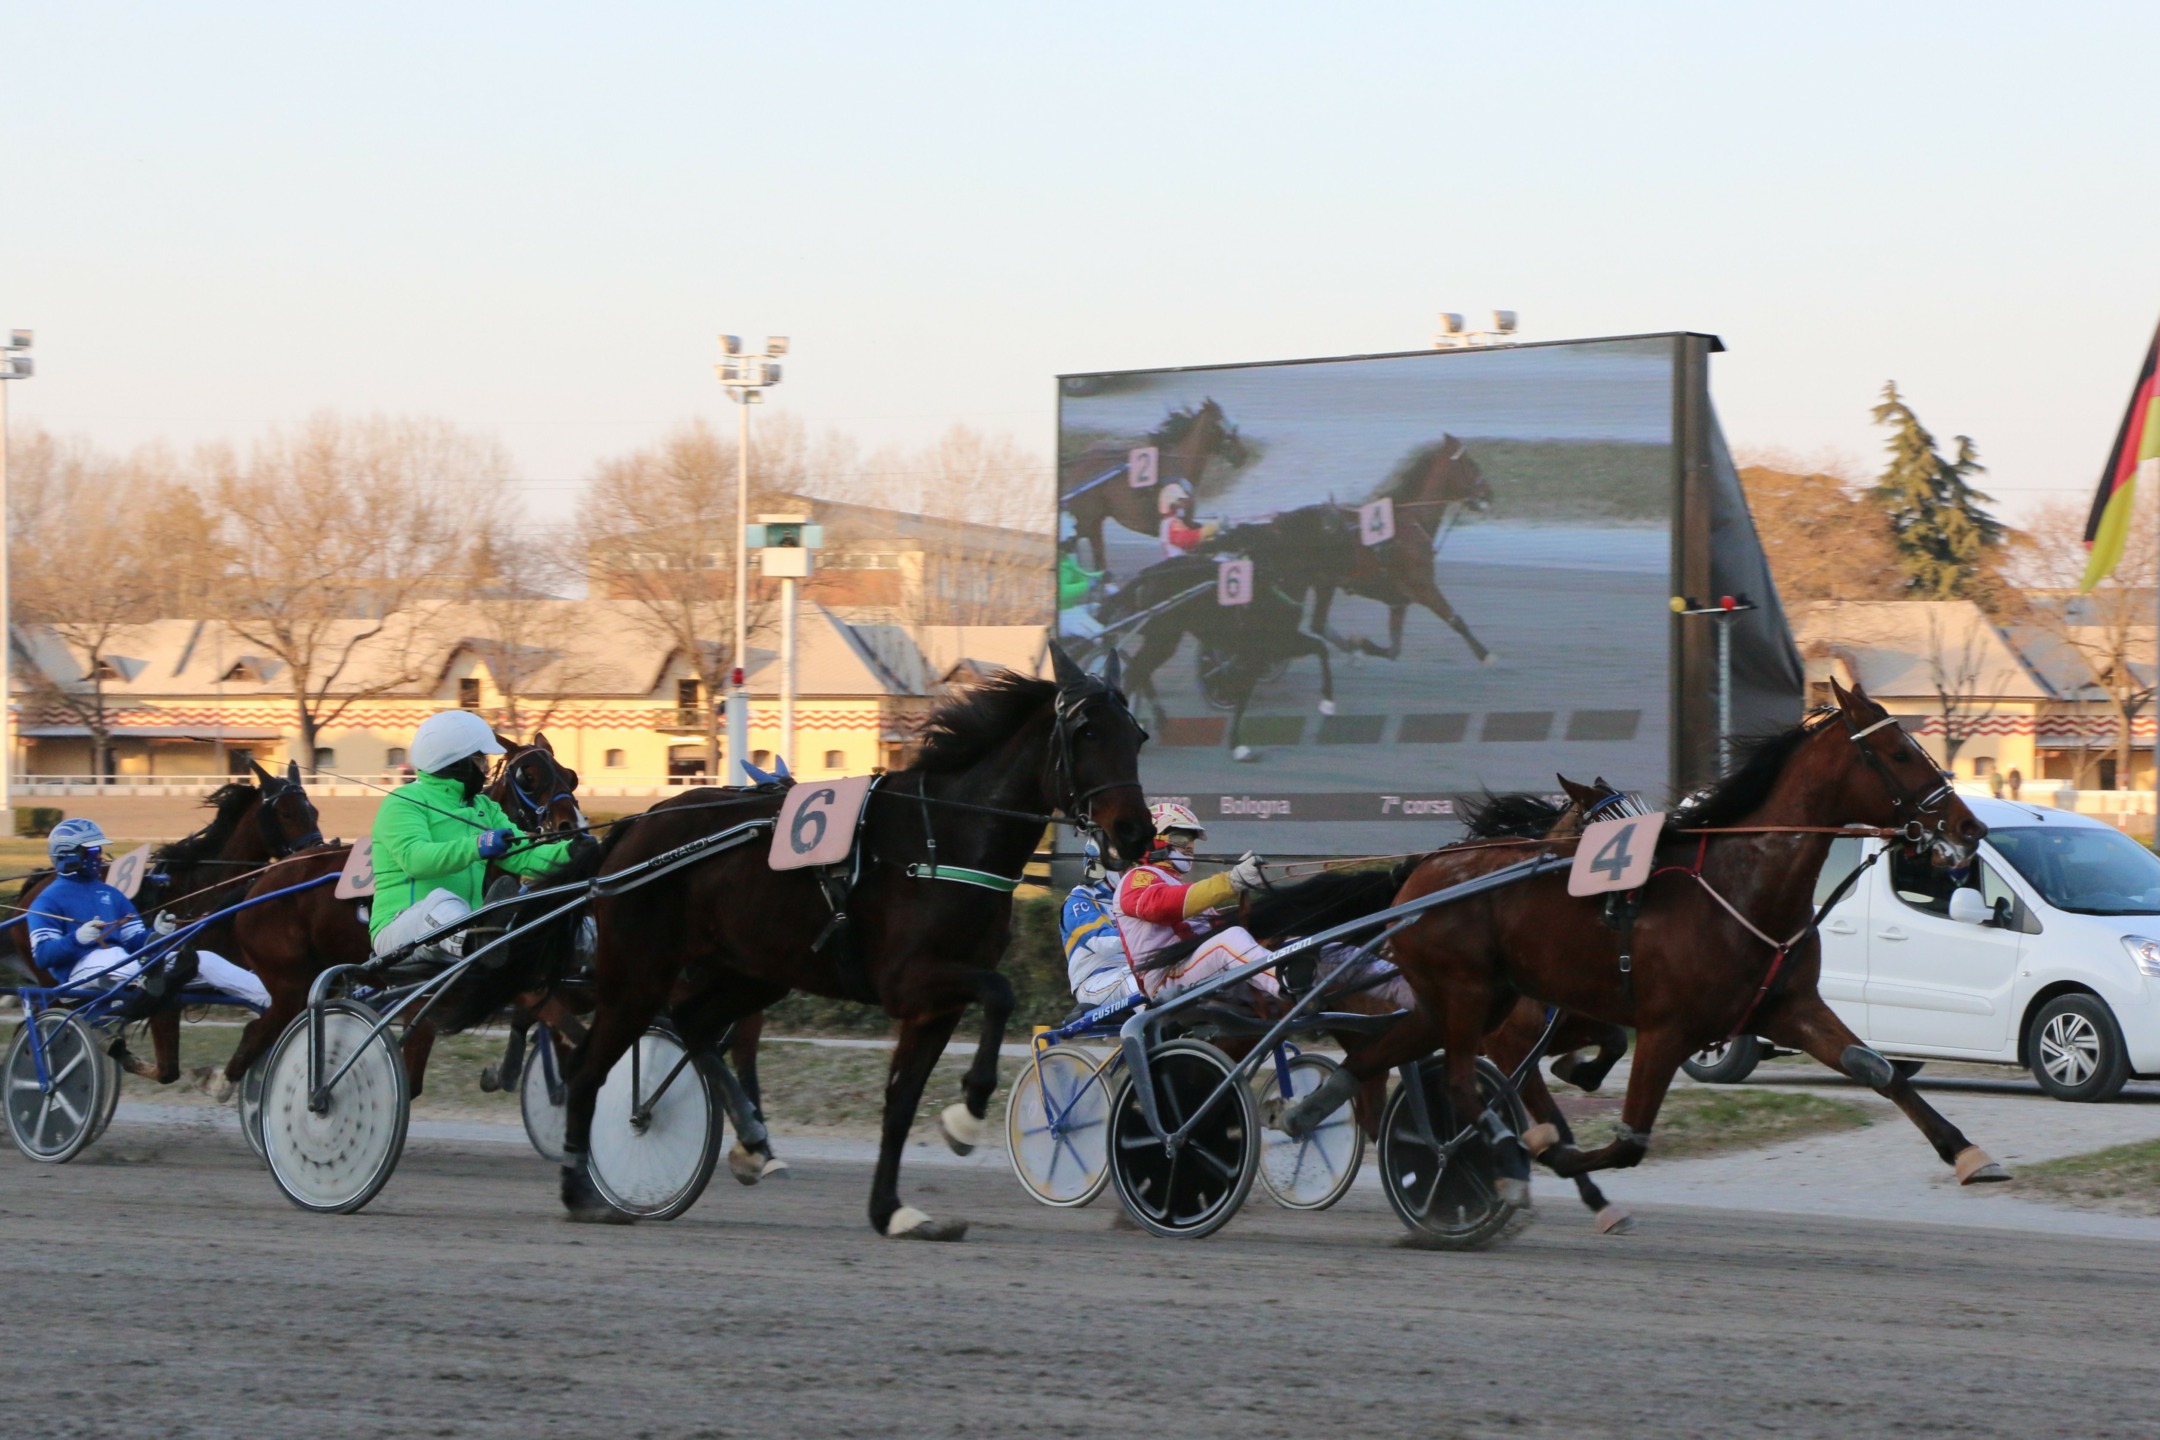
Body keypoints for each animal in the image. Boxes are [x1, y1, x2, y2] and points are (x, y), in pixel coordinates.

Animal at [565, 651, 1157, 1243]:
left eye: (1137, 735)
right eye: (1086, 731)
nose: (1135, 831)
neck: (946, 840)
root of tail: (636, 828)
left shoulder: (935, 1005)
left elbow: (902, 1101)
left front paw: (892, 1209)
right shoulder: (908, 980)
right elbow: (1001, 993)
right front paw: (966, 1117)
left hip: (752, 972)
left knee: (692, 1021)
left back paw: (754, 1140)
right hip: (638, 974)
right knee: (588, 1068)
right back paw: (583, 1189)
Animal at [1062, 403, 1252, 578]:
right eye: (1220, 425)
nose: (1242, 455)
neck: (1178, 468)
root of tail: (1077, 463)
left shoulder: (1187, 521)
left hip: (1096, 520)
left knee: (1097, 555)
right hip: (1086, 518)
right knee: (1071, 542)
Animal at [1278, 682, 2004, 1200]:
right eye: (1901, 753)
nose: (1970, 827)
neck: (1741, 885)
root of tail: (1421, 870)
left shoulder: (1786, 1007)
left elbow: (1878, 1069)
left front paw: (1969, 1152)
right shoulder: (1666, 1027)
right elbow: (1628, 1140)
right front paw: (1559, 1154)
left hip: (1457, 1000)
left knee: (1381, 1054)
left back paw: (1307, 1111)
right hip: (1469, 997)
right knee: (1457, 1076)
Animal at [1304, 436, 1494, 669]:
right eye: (1471, 464)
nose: (1489, 493)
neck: (1411, 521)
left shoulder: (1399, 601)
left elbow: (1394, 650)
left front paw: (1361, 644)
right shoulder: (1423, 587)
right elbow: (1455, 619)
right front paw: (1485, 655)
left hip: (1324, 583)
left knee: (1318, 624)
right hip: (1323, 583)